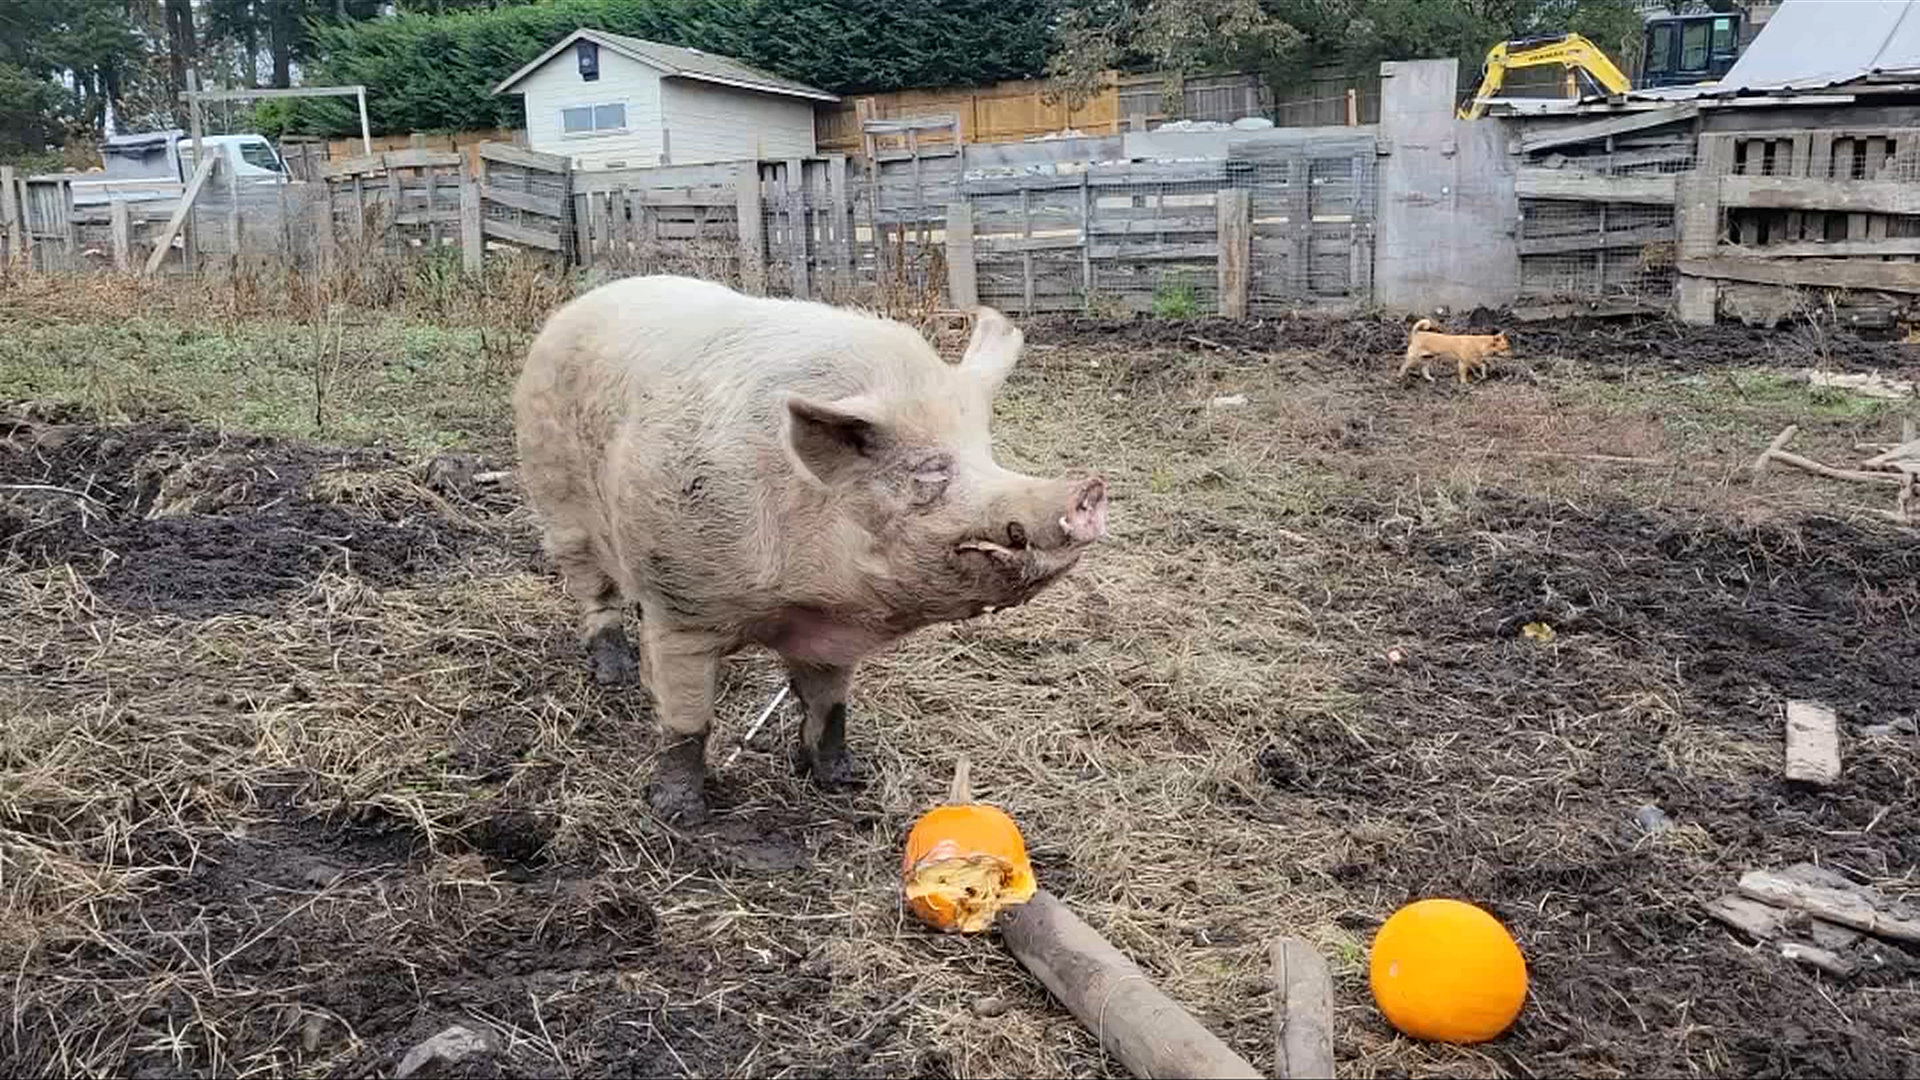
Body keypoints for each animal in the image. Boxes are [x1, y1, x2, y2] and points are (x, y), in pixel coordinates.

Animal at [512, 275, 1109, 824]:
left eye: (987, 453)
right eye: (928, 472)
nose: (1089, 490)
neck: (803, 598)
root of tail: (581, 303)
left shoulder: (828, 639)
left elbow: (830, 704)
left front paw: (846, 780)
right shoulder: (681, 606)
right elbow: (686, 719)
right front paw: (679, 815)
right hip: (559, 503)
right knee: (594, 592)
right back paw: (614, 673)